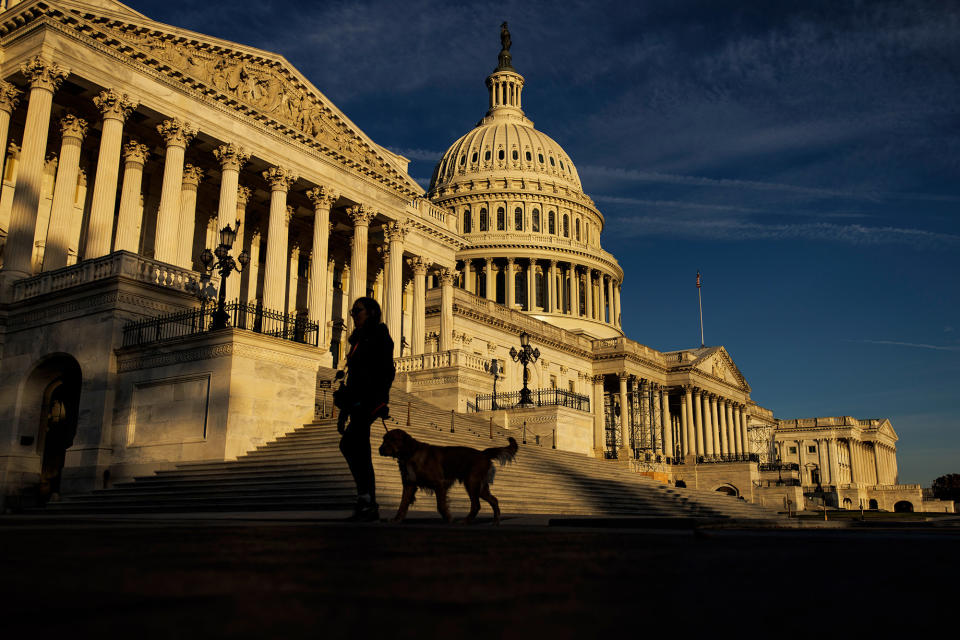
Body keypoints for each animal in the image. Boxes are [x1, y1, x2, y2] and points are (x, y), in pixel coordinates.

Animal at [380, 428, 520, 524]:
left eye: (393, 439)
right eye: (384, 439)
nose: (380, 449)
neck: (410, 453)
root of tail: (483, 453)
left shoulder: (439, 483)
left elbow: (441, 506)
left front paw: (449, 519)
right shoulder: (409, 484)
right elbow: (402, 505)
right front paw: (396, 520)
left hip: (472, 482)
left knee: (476, 505)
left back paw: (465, 521)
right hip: (480, 487)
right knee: (494, 500)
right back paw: (495, 521)